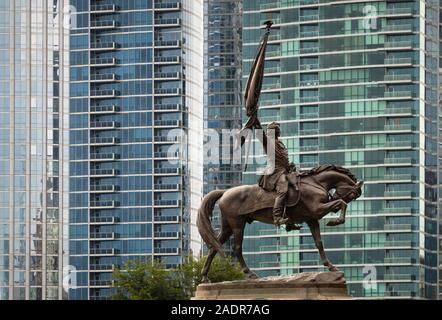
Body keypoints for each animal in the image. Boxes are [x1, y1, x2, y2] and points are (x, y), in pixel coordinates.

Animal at [197, 165, 362, 282]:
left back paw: (205, 277)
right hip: (237, 223)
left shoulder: (312, 219)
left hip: (228, 226)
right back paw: (249, 274)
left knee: (214, 246)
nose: (333, 203)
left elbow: (319, 243)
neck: (315, 183)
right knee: (237, 248)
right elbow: (341, 204)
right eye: (353, 195)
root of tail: (225, 192)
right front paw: (335, 221)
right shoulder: (318, 209)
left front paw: (331, 267)